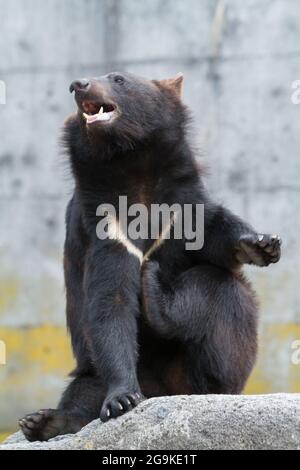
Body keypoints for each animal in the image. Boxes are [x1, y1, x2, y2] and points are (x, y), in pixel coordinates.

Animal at [19, 70, 282, 440]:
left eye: (119, 79)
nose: (78, 84)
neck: (134, 165)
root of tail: (167, 391)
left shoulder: (183, 205)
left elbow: (215, 232)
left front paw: (261, 244)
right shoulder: (106, 226)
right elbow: (110, 300)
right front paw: (122, 398)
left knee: (223, 291)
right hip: (92, 370)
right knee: (83, 390)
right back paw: (44, 420)